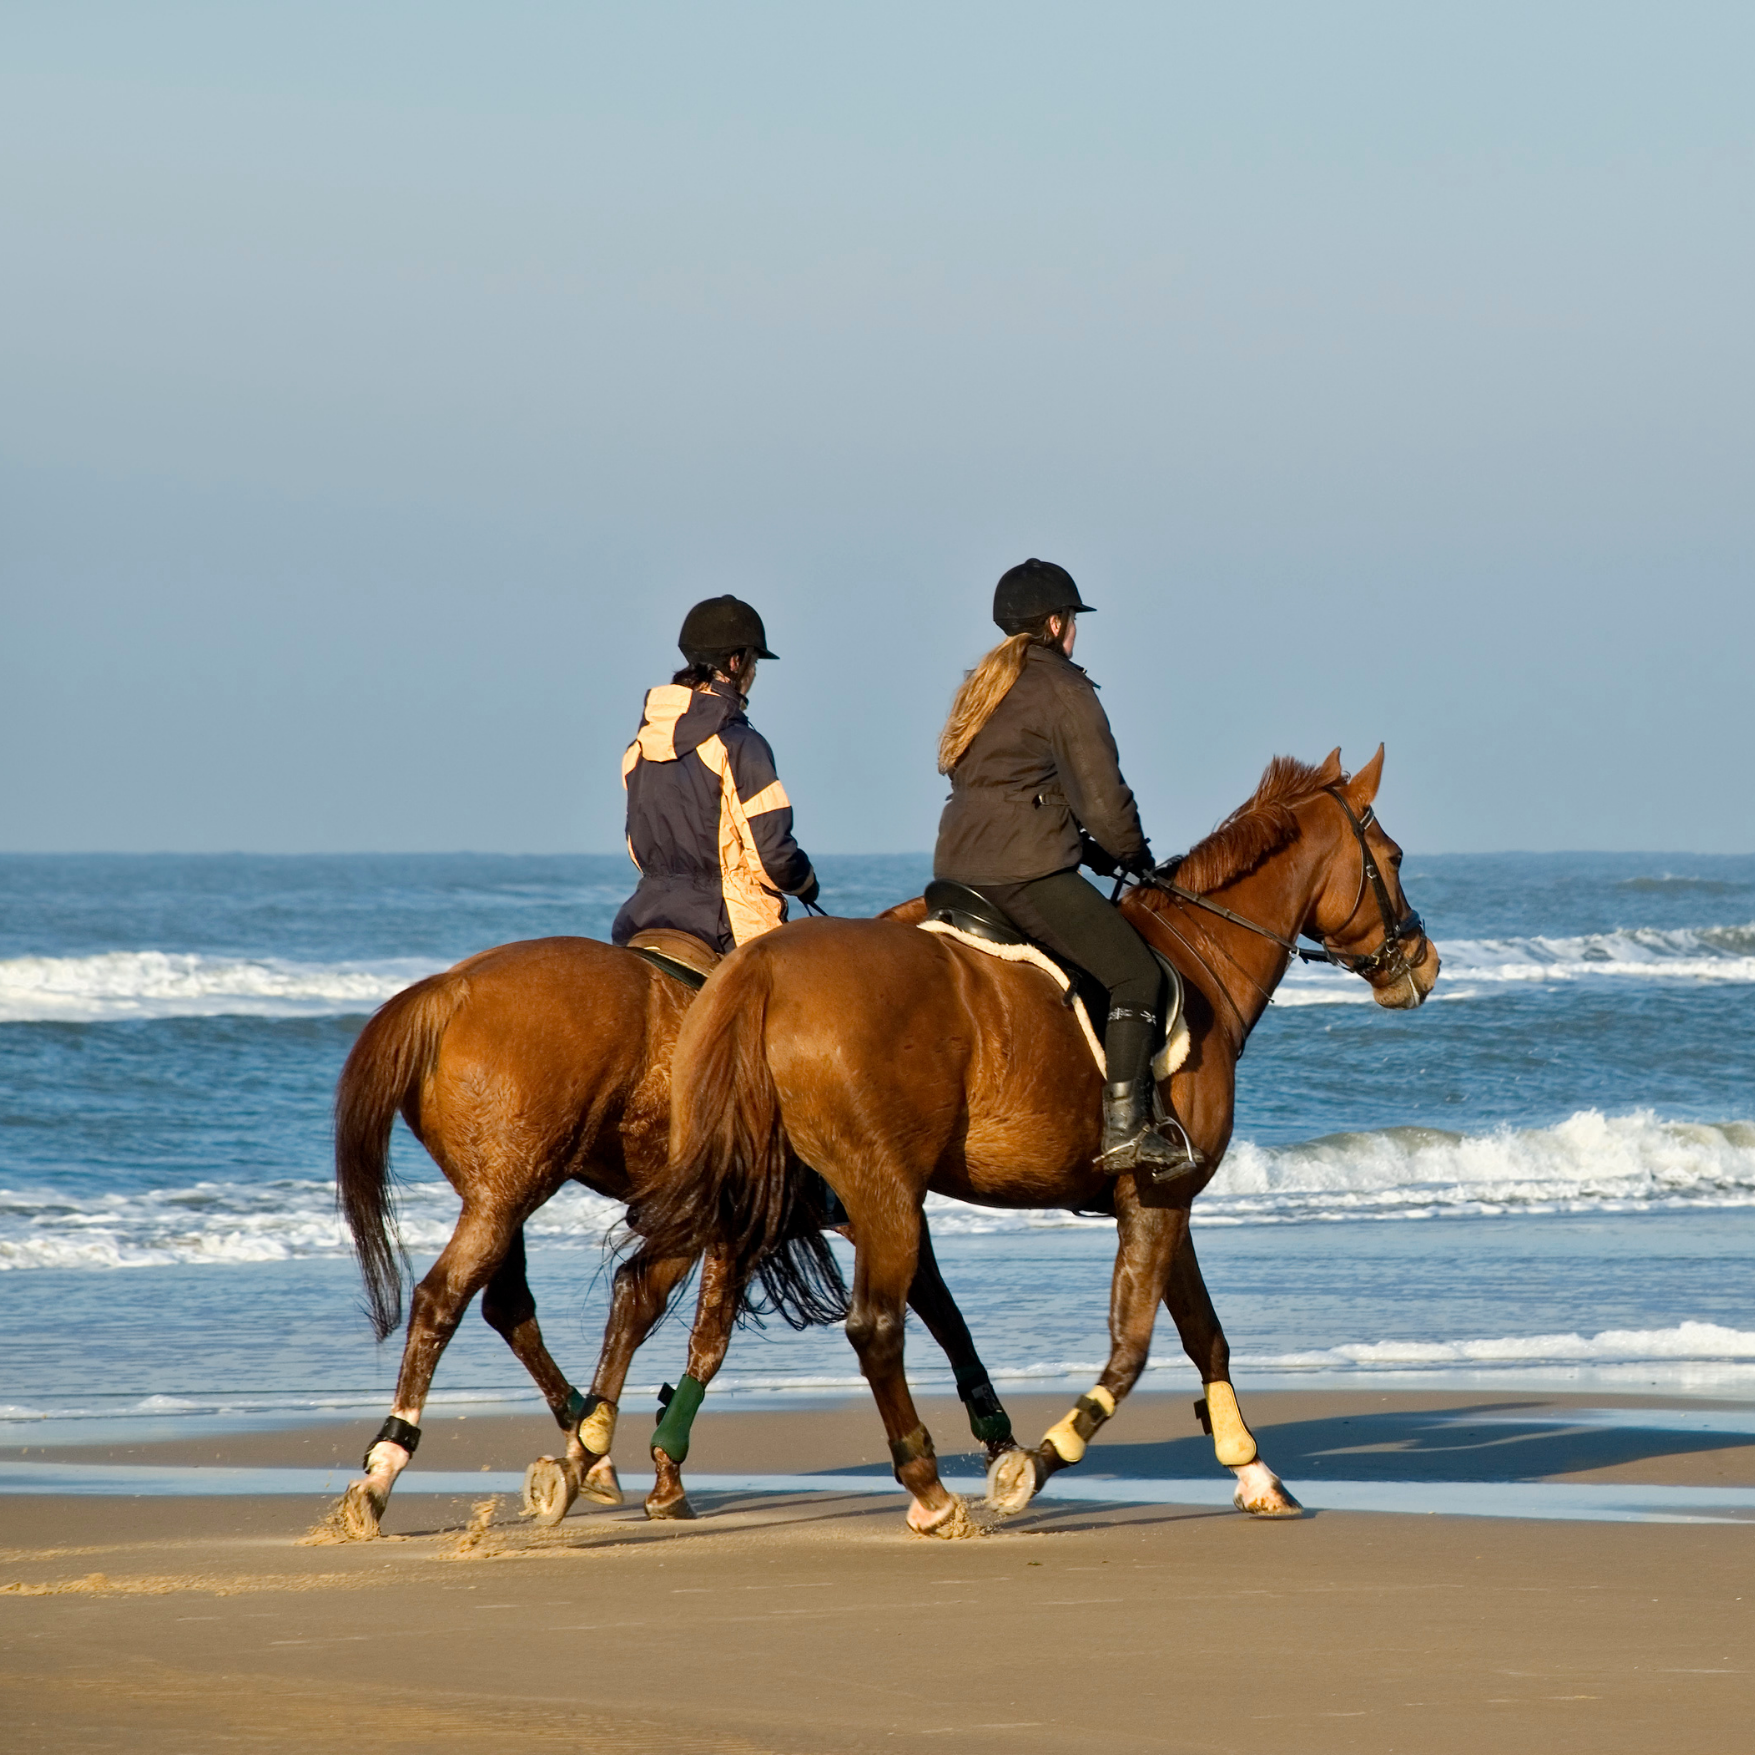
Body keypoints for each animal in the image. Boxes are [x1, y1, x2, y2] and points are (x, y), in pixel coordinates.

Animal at [330, 934, 1017, 1539]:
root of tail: (449, 989)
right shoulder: (863, 1205)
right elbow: (934, 1311)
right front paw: (999, 1442)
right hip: (508, 1193)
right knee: (443, 1299)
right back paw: (386, 1468)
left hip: (500, 1197)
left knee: (506, 1305)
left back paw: (584, 1444)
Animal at [634, 747, 1440, 1535]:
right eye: (1393, 857)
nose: (1423, 961)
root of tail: (764, 966)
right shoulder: (1159, 1197)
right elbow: (1131, 1349)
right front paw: (1038, 1462)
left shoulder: (1163, 1199)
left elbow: (1204, 1334)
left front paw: (1254, 1470)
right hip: (880, 1190)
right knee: (874, 1327)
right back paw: (930, 1493)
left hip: (773, 1185)